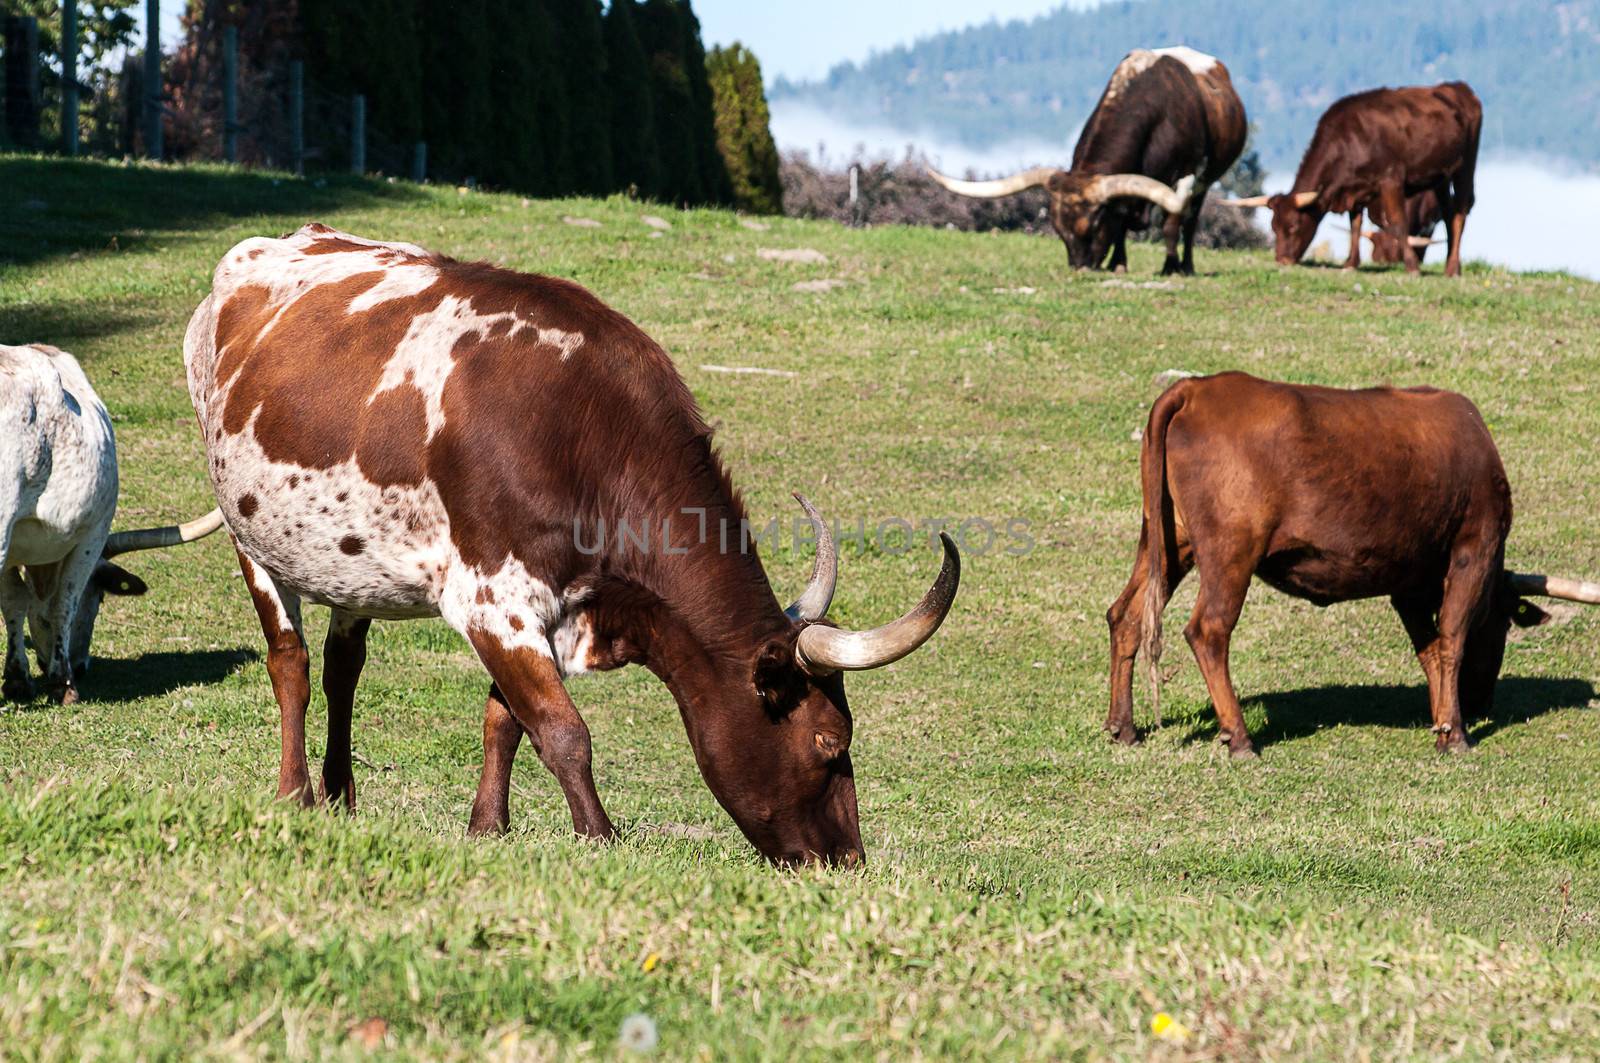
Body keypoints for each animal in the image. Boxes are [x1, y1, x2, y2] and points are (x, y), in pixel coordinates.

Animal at [2, 344, 225, 701]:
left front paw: (18, 680)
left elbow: (13, 601)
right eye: (100, 598)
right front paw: (62, 683)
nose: (81, 665)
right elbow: (63, 603)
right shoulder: (91, 537)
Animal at [187, 224, 960, 864]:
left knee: (343, 665)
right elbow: (563, 731)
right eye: (830, 741)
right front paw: (600, 838)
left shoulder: (538, 610)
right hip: (250, 533)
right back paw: (295, 794)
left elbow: (505, 719)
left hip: (351, 563)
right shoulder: (491, 601)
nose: (848, 862)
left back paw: (342, 796)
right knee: (291, 663)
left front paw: (487, 828)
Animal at [928, 47, 1248, 275]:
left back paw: (1187, 266)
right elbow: (1120, 224)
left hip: (1206, 182)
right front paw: (1118, 264)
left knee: (1190, 222)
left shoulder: (1186, 173)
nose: (1081, 268)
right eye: (1059, 231)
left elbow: (1171, 223)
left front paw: (1170, 268)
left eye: (1093, 227)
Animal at [1107, 373, 1600, 755]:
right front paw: (1455, 733)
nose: (1481, 703)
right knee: (1208, 630)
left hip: (1168, 540)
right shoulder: (1473, 548)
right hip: (1230, 551)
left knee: (1125, 615)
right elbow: (1451, 639)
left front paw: (1440, 719)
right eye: (1500, 624)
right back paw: (1240, 738)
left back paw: (1123, 727)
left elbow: (1430, 649)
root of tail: (1197, 387)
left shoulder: (1410, 581)